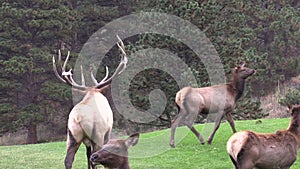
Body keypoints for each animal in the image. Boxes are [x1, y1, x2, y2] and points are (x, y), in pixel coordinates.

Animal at [52, 35, 127, 168]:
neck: (93, 92)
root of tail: (77, 118)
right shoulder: (107, 131)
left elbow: (87, 155)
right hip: (97, 134)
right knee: (94, 157)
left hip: (71, 136)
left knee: (68, 160)